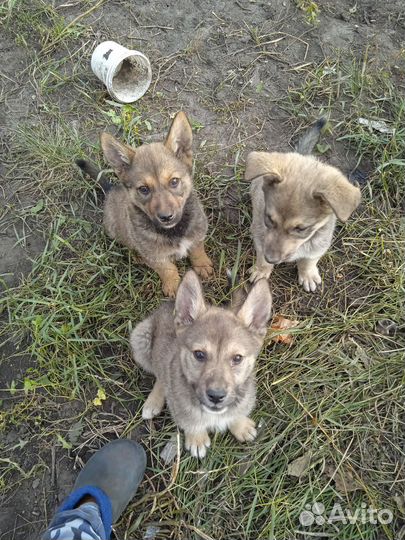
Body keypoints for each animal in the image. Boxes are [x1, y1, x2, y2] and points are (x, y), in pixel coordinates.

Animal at [77, 110, 213, 296]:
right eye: (143, 189)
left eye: (174, 181)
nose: (166, 217)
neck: (173, 231)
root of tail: (111, 189)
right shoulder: (155, 256)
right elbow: (167, 268)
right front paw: (173, 284)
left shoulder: (197, 233)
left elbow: (197, 250)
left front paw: (202, 264)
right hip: (114, 230)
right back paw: (137, 256)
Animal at [131, 272, 272, 458]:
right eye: (199, 354)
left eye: (237, 358)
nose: (216, 396)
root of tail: (169, 304)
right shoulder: (180, 407)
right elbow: (191, 421)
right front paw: (196, 438)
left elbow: (236, 413)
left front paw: (240, 425)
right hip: (140, 339)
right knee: (159, 374)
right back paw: (153, 402)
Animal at [245, 121, 358, 292]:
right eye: (269, 219)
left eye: (301, 228)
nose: (271, 259)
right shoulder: (259, 234)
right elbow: (260, 256)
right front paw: (261, 269)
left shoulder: (320, 243)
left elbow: (309, 260)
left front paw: (307, 274)